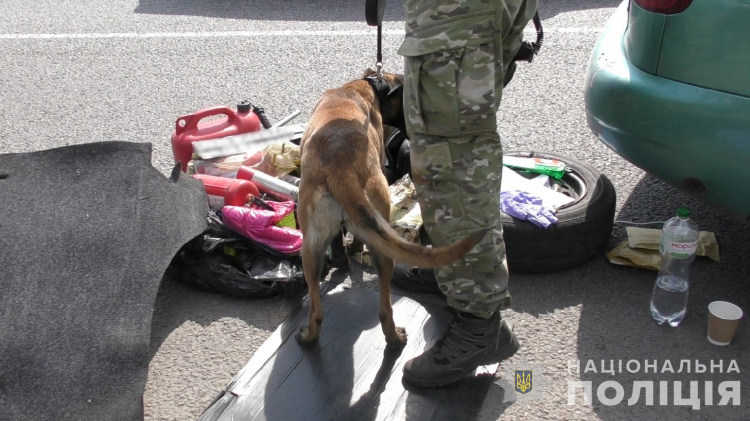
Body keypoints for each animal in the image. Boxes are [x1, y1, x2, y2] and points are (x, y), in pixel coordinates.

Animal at [296, 70, 488, 350]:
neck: (362, 87)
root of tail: (339, 168)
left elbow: (339, 242)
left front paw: (343, 258)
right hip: (382, 237)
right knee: (385, 308)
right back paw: (395, 338)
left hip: (310, 250)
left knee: (317, 309)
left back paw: (309, 336)